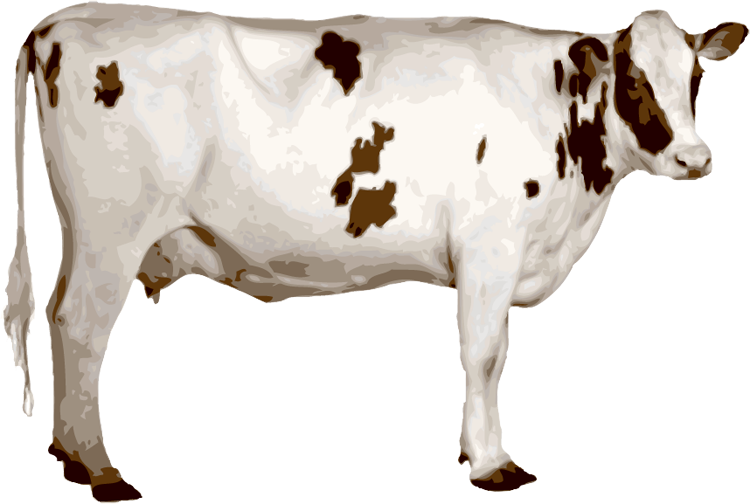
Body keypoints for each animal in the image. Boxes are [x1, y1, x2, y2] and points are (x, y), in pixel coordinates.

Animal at [4, 3, 745, 499]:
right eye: (634, 80)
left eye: (695, 80)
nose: (695, 158)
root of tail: (57, 25)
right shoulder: (490, 250)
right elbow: (483, 357)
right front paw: (490, 463)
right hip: (111, 230)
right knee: (81, 325)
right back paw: (100, 467)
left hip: (88, 235)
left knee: (58, 316)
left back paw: (68, 452)